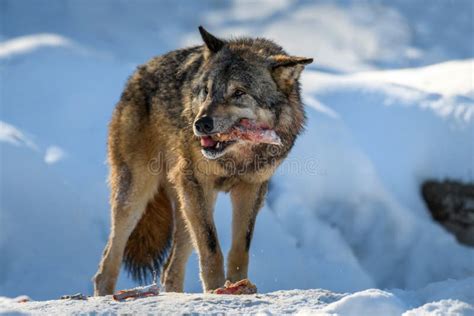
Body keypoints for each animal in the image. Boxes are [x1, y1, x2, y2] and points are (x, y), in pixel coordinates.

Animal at [94, 25, 312, 296]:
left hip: (187, 206)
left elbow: (240, 250)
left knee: (169, 269)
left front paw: (237, 286)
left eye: (239, 93)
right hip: (139, 195)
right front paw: (216, 291)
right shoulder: (198, 183)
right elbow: (211, 249)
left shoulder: (251, 189)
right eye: (206, 91)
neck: (236, 158)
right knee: (107, 262)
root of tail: (137, 74)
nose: (201, 124)